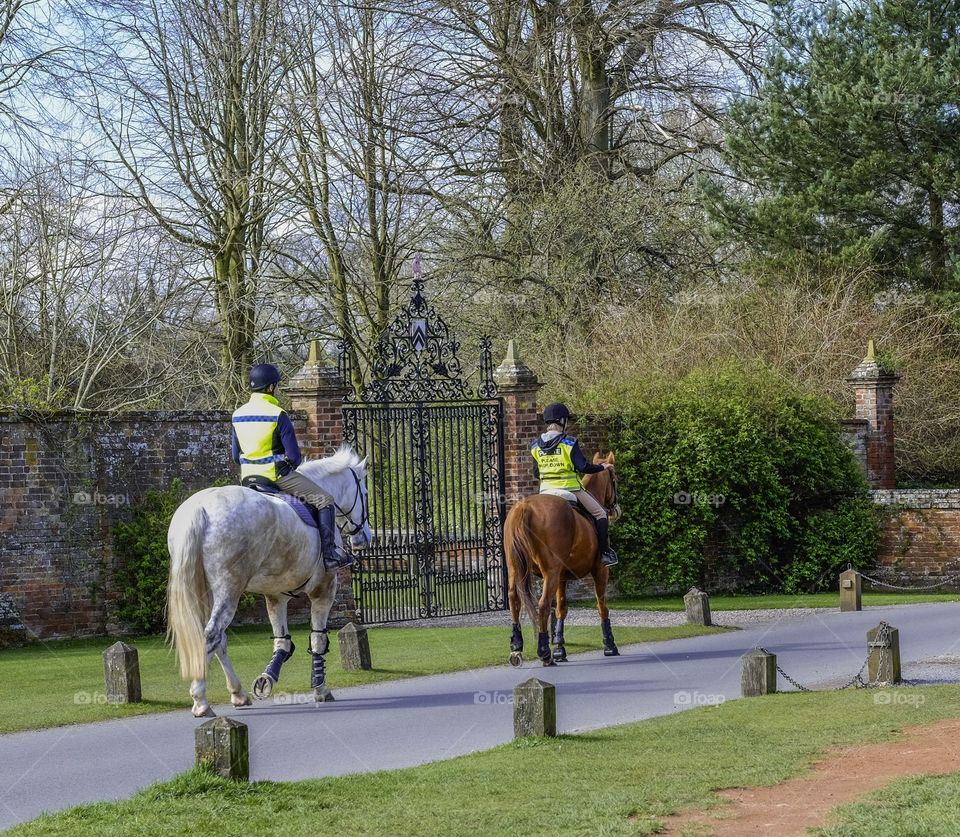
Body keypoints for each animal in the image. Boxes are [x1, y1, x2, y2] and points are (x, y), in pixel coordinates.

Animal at [167, 448, 370, 716]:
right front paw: (320, 687)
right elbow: (317, 638)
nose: (364, 537)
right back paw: (200, 700)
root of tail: (202, 507)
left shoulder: (276, 596)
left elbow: (282, 641)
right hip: (229, 590)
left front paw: (267, 678)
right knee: (211, 634)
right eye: (365, 493)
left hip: (208, 592)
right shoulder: (323, 591)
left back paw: (238, 693)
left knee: (218, 639)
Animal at [502, 450, 624, 668]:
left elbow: (561, 609)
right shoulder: (600, 570)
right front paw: (610, 645)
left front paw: (559, 647)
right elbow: (602, 605)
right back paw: (544, 653)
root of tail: (525, 506)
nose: (616, 510)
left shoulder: (562, 577)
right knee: (543, 605)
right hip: (549, 573)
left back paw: (517, 648)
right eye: (615, 479)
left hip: (517, 569)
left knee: (514, 599)